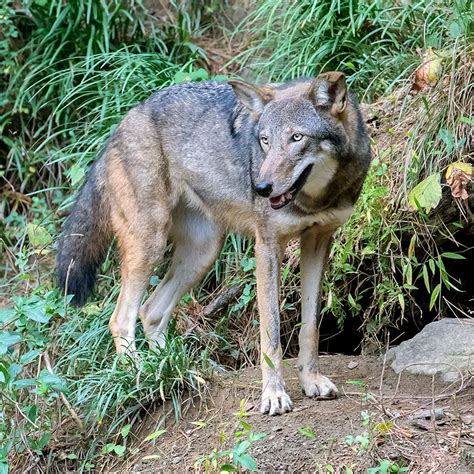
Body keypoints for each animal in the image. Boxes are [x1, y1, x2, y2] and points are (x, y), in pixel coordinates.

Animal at [57, 70, 372, 414]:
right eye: (264, 141)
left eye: (297, 138)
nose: (261, 187)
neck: (315, 200)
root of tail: (124, 120)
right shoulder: (267, 247)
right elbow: (271, 334)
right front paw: (274, 395)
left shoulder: (318, 241)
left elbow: (310, 326)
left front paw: (311, 381)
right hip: (151, 246)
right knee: (120, 319)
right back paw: (140, 377)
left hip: (203, 253)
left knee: (151, 312)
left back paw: (174, 371)